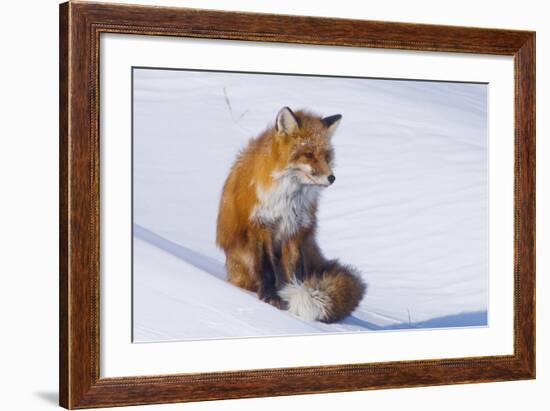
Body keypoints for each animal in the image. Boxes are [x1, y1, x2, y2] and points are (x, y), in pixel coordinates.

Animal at [218, 108, 368, 324]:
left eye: (326, 156)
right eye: (308, 154)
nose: (332, 178)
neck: (287, 199)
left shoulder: (295, 229)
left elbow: (296, 273)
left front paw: (293, 296)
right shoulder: (261, 225)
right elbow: (266, 268)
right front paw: (270, 297)